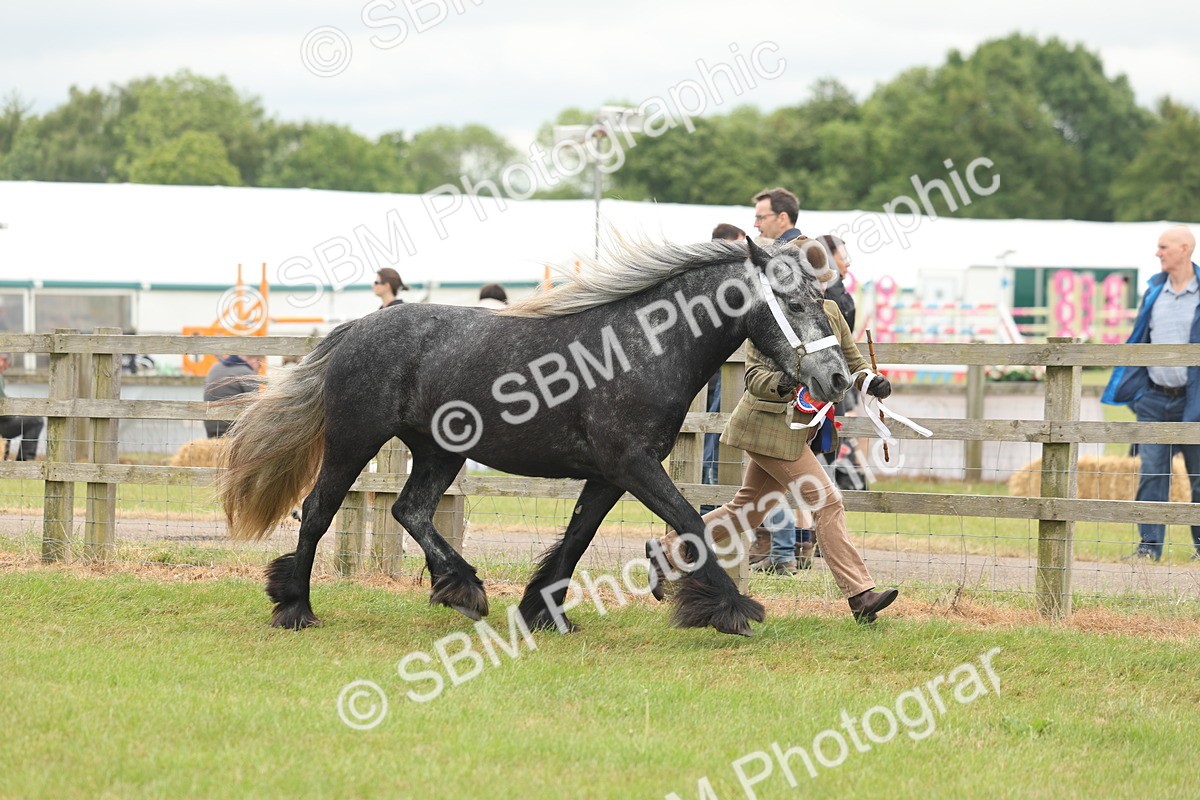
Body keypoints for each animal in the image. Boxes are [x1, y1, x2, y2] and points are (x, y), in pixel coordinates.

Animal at [219, 237, 851, 636]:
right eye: (795, 302)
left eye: (822, 299)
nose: (838, 379)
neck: (641, 348)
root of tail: (356, 328)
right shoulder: (634, 465)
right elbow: (692, 524)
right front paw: (733, 609)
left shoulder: (609, 475)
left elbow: (576, 539)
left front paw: (543, 614)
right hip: (355, 441)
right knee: (318, 510)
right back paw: (296, 608)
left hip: (438, 452)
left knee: (411, 510)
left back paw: (462, 588)